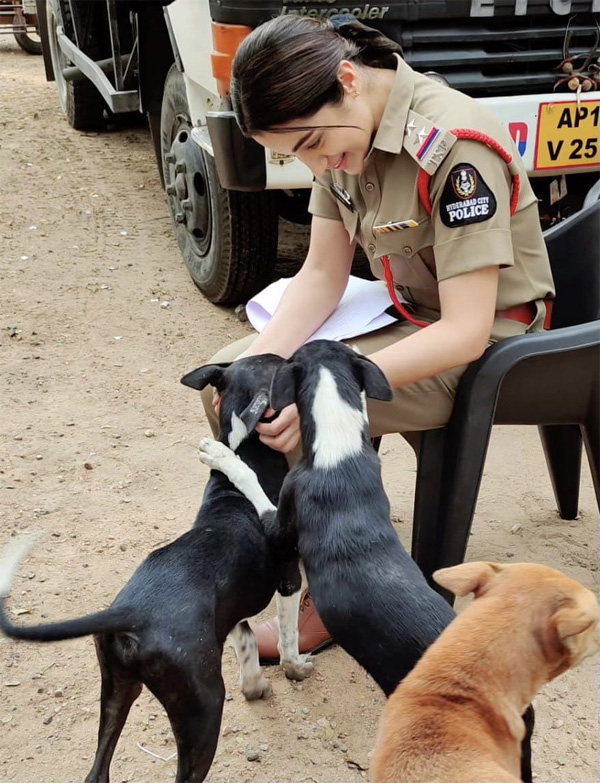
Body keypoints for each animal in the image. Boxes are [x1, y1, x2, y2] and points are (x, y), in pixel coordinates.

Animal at [0, 356, 310, 783]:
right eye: (279, 364)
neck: (247, 451)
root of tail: (131, 613)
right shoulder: (288, 579)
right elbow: (287, 635)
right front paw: (294, 668)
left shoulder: (228, 609)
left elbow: (246, 639)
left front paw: (254, 685)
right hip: (203, 708)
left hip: (118, 689)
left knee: (97, 772)